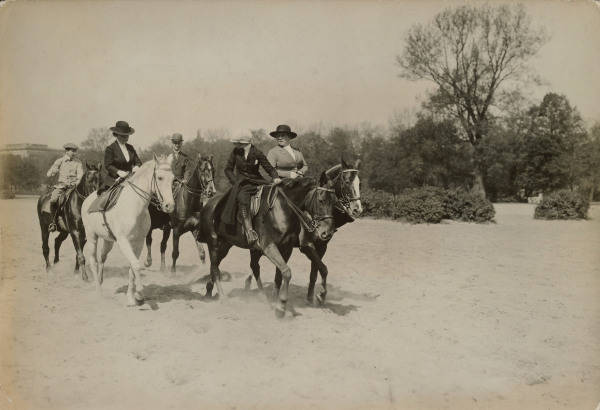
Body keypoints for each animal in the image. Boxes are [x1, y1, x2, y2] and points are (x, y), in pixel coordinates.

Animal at [80, 155, 173, 306]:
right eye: (159, 178)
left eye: (173, 179)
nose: (170, 206)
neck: (135, 206)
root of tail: (88, 199)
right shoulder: (123, 241)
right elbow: (135, 264)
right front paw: (139, 294)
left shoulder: (138, 242)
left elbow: (131, 268)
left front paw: (131, 297)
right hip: (92, 237)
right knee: (93, 261)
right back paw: (99, 292)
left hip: (108, 241)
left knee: (102, 258)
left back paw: (100, 281)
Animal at [196, 173, 338, 318]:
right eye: (321, 200)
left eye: (334, 202)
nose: (327, 233)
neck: (282, 209)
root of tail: (208, 204)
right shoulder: (269, 246)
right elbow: (287, 272)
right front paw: (281, 306)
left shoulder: (287, 248)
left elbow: (284, 274)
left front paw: (321, 295)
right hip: (214, 243)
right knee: (215, 268)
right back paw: (223, 298)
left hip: (226, 244)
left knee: (242, 266)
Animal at [244, 157, 360, 304]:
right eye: (346, 182)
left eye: (359, 183)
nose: (357, 209)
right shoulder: (306, 246)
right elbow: (321, 268)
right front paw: (320, 295)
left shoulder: (321, 247)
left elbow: (317, 271)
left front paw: (312, 297)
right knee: (254, 264)